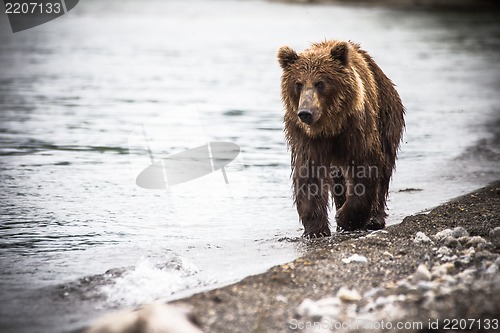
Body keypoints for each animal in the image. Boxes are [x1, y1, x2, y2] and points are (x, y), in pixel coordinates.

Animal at [280, 39, 404, 236]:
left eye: (320, 83)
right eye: (298, 83)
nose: (305, 112)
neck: (331, 127)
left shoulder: (357, 128)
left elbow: (365, 167)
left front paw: (346, 218)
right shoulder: (306, 137)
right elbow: (308, 174)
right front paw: (316, 229)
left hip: (387, 116)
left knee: (384, 169)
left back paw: (375, 218)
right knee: (337, 180)